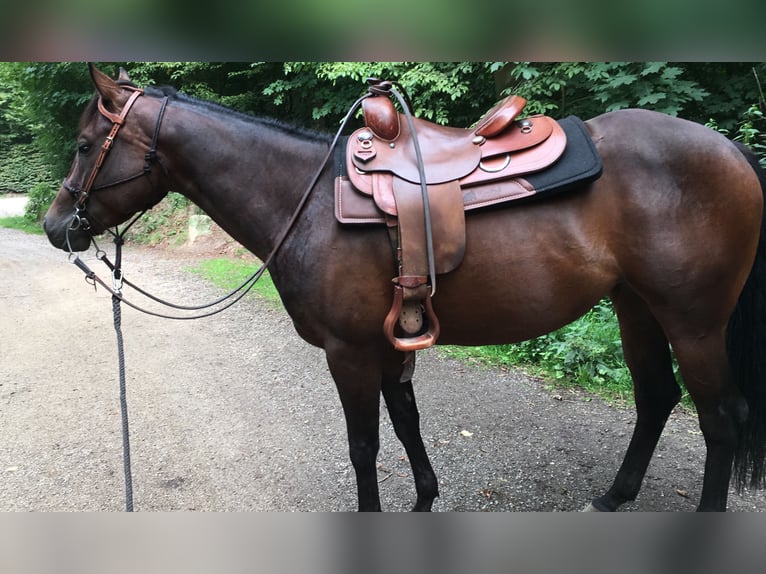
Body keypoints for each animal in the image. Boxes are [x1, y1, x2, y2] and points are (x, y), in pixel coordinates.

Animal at [44, 65, 766, 511]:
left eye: (83, 144)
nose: (55, 226)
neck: (307, 200)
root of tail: (730, 149)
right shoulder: (390, 342)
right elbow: (406, 420)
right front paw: (423, 496)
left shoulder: (350, 352)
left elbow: (365, 446)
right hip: (636, 307)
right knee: (656, 398)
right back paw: (616, 496)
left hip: (694, 321)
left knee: (722, 418)